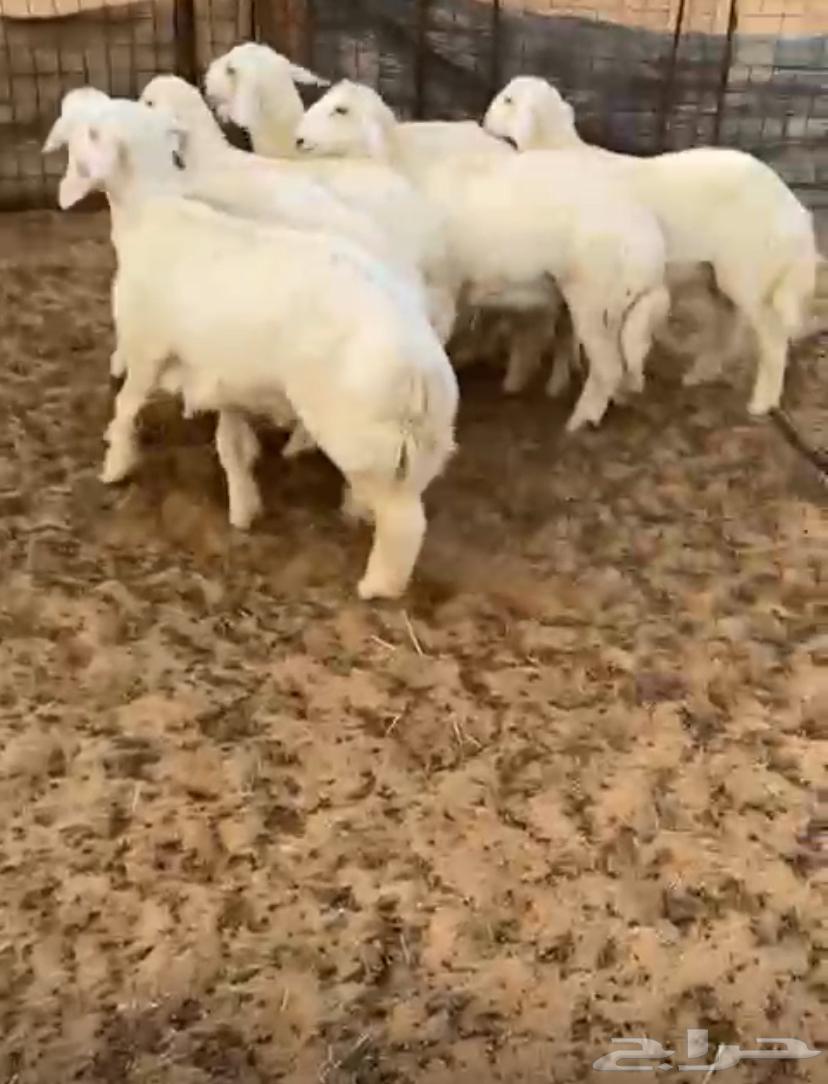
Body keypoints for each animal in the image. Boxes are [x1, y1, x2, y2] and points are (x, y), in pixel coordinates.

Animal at [52, 99, 459, 599]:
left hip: (360, 434)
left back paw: (376, 584)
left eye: (93, 131)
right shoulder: (221, 371)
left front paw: (115, 464)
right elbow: (230, 442)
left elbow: (126, 406)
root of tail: (423, 369)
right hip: (422, 444)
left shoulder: (146, 345)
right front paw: (244, 505)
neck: (152, 212)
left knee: (405, 521)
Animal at [295, 80, 670, 432]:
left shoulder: (441, 286)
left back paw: (580, 421)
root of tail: (650, 248)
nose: (297, 140)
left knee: (607, 368)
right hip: (612, 308)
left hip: (596, 302)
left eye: (341, 110)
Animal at [483, 76, 819, 415]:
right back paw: (700, 374)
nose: (483, 124)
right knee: (729, 325)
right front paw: (569, 371)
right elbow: (567, 330)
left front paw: (561, 382)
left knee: (773, 337)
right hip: (719, 273)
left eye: (508, 100)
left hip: (750, 271)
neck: (558, 152)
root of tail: (794, 207)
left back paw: (762, 402)